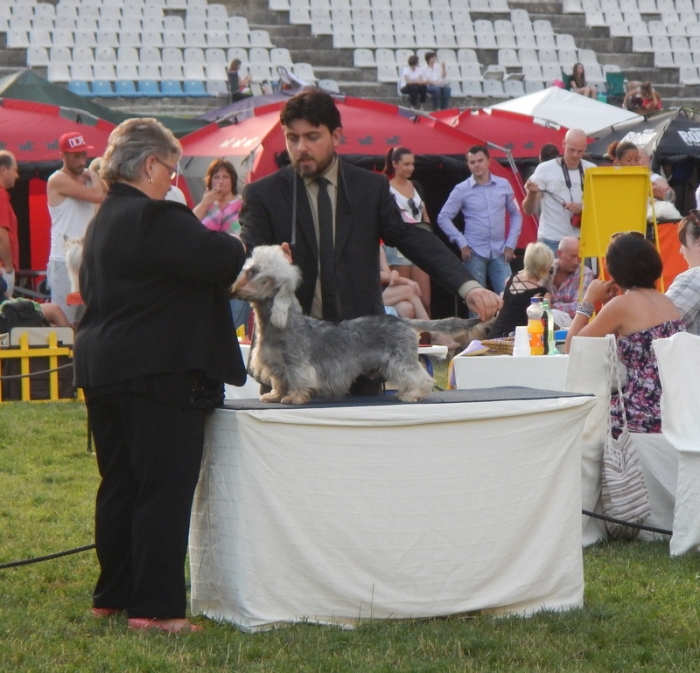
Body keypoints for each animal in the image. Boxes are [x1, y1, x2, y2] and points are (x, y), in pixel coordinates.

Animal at [231, 245, 484, 404]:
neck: (279, 326)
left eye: (253, 271)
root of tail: (402, 319)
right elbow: (279, 381)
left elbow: (298, 380)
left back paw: (413, 395)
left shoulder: (296, 363)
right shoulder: (275, 364)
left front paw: (294, 397)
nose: (232, 288)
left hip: (400, 361)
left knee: (421, 378)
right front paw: (274, 395)